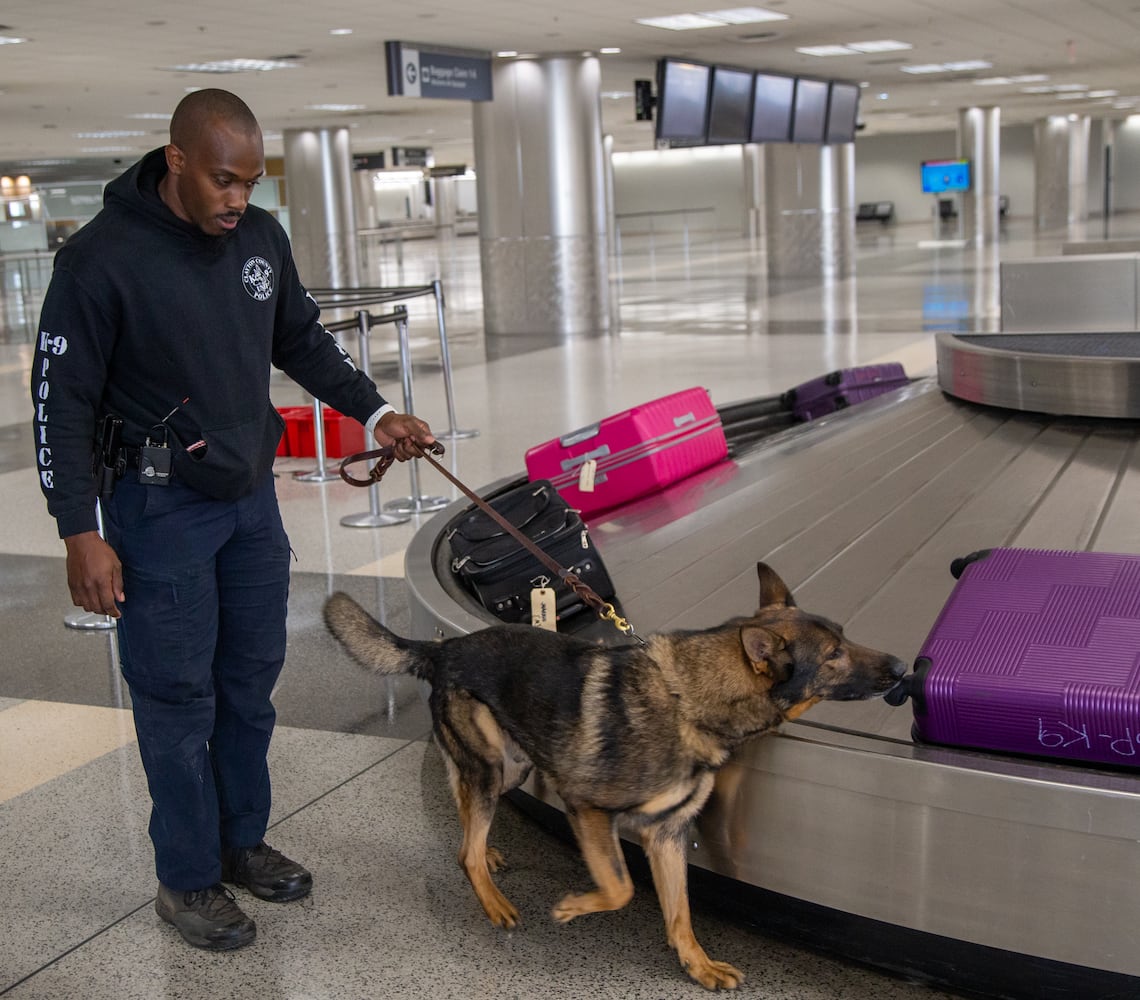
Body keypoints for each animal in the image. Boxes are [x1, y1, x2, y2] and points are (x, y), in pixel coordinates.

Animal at [323, 561, 907, 989]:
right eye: (834, 655)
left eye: (844, 639)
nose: (904, 668)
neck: (690, 698)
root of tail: (442, 646)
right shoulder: (586, 809)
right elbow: (621, 888)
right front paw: (575, 907)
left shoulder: (667, 835)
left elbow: (680, 912)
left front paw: (696, 966)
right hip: (498, 768)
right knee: (465, 842)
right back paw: (492, 899)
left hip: (512, 767)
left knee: (464, 809)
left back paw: (484, 855)